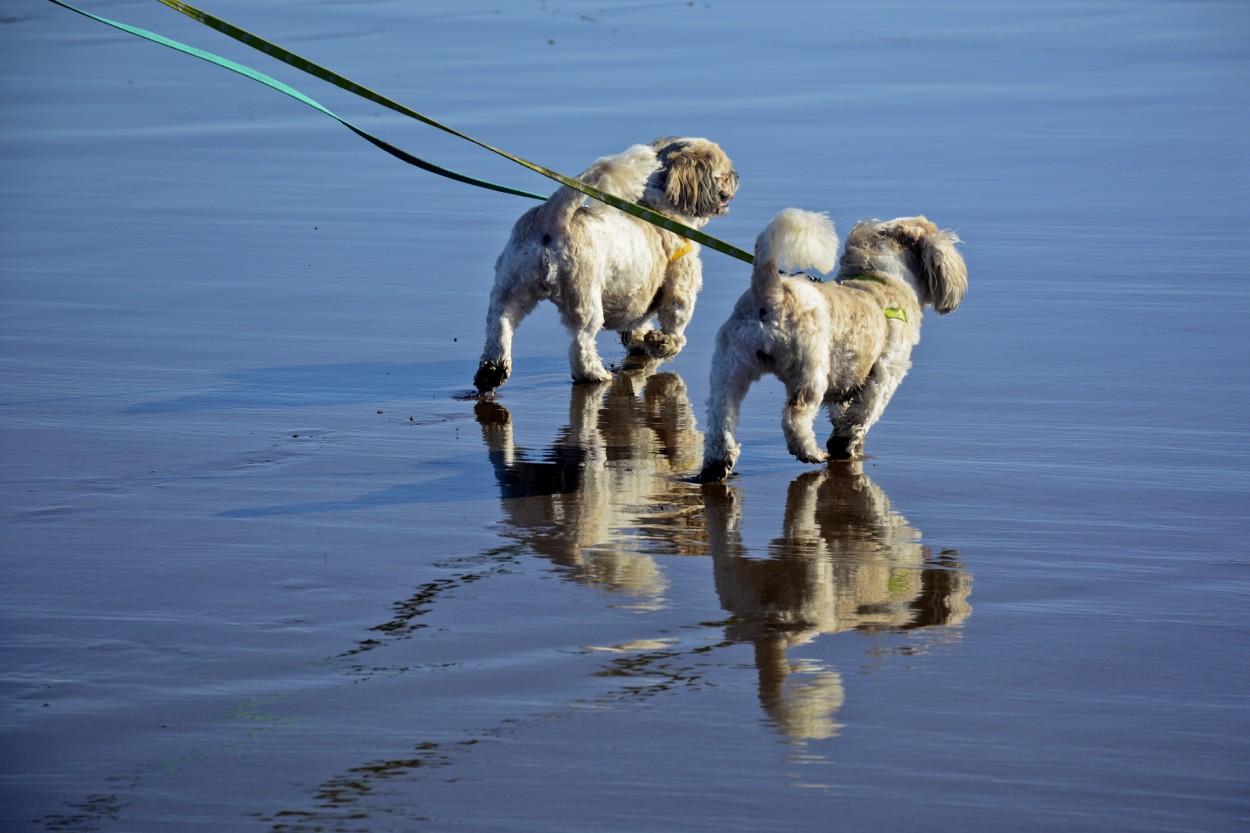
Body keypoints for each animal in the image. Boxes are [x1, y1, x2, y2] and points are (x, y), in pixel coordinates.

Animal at [472, 135, 735, 392]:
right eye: (725, 173)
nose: (737, 177)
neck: (660, 211)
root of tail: (553, 216)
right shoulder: (681, 285)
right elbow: (676, 323)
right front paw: (663, 343)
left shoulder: (636, 297)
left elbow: (637, 321)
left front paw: (641, 338)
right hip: (584, 295)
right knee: (581, 341)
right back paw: (594, 374)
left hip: (512, 285)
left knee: (500, 322)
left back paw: (492, 371)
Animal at [705, 207, 965, 480]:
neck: (883, 278)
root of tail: (771, 294)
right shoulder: (885, 374)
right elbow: (862, 413)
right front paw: (844, 444)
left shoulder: (848, 377)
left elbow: (843, 410)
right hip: (810, 371)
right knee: (795, 416)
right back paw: (811, 452)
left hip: (729, 372)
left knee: (721, 418)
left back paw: (717, 465)